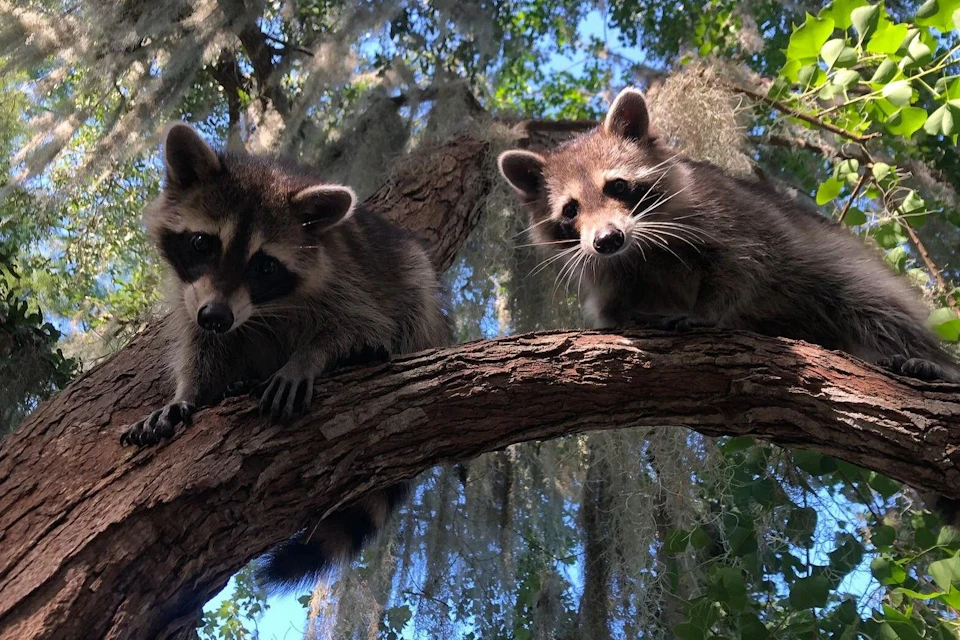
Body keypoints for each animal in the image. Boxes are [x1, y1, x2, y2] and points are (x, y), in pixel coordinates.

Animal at [120, 122, 452, 589]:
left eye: (265, 266)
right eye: (203, 243)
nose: (217, 317)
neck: (263, 308)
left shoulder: (349, 277)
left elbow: (359, 324)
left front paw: (310, 357)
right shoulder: (192, 299)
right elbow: (199, 347)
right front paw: (187, 393)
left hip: (414, 285)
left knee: (413, 292)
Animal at [498, 87, 959, 382]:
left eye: (618, 186)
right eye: (570, 210)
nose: (607, 240)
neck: (641, 244)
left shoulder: (726, 210)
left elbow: (749, 261)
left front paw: (706, 311)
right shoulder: (608, 270)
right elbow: (610, 309)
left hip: (846, 270)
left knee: (878, 308)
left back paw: (934, 363)